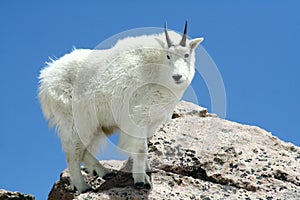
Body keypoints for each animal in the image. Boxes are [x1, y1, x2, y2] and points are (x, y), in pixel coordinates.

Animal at [38, 21, 204, 192]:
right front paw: (141, 180)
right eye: (168, 56)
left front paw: (146, 169)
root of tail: (46, 77)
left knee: (83, 149)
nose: (178, 76)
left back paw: (104, 172)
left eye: (187, 55)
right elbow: (140, 149)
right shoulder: (138, 116)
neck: (157, 70)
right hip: (75, 119)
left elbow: (145, 144)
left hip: (97, 124)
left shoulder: (151, 120)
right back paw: (82, 186)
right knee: (72, 151)